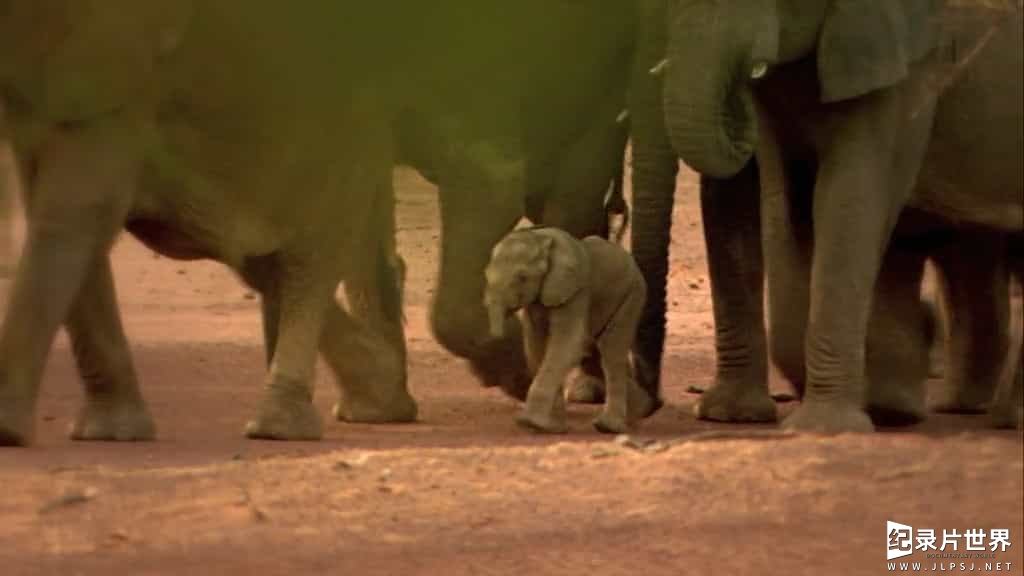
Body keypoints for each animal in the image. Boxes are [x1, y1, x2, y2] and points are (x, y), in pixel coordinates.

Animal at [485, 224, 647, 430]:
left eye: (522, 277)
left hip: (632, 295)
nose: (495, 338)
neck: (542, 239)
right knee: (596, 355)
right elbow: (536, 347)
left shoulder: (575, 292)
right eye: (486, 274)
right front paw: (552, 426)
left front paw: (531, 423)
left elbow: (566, 345)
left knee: (610, 352)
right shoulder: (538, 300)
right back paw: (640, 410)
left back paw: (608, 426)